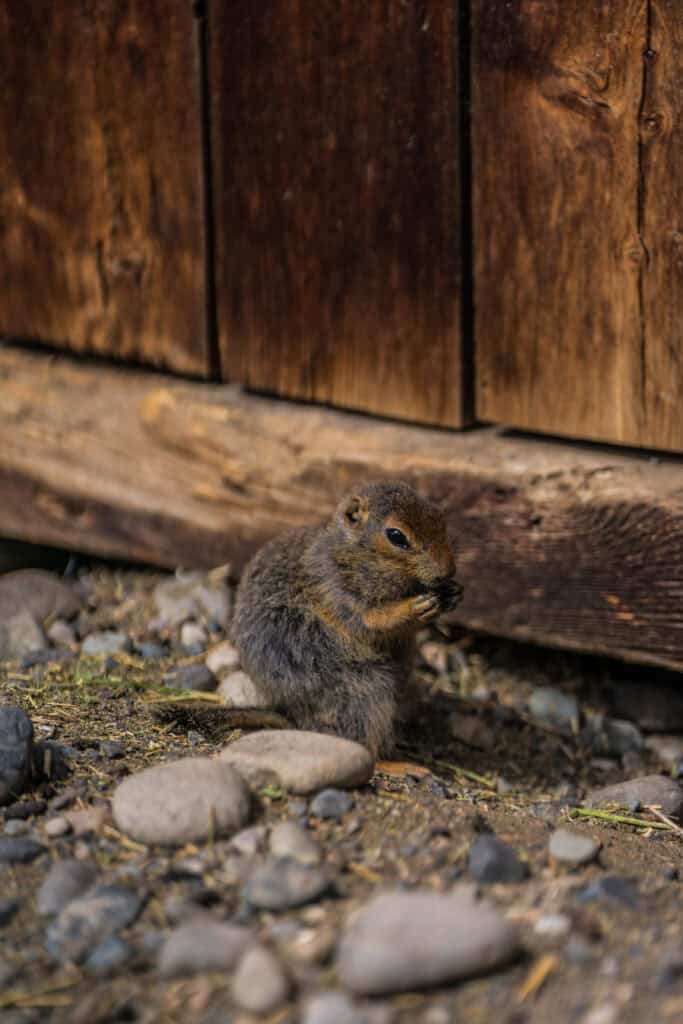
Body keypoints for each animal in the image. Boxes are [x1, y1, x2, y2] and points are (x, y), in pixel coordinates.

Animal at [230, 480, 463, 758]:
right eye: (396, 536)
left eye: (439, 516)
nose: (447, 571)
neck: (355, 555)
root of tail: (291, 716)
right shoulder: (335, 590)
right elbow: (373, 621)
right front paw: (413, 607)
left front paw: (454, 593)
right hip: (365, 688)